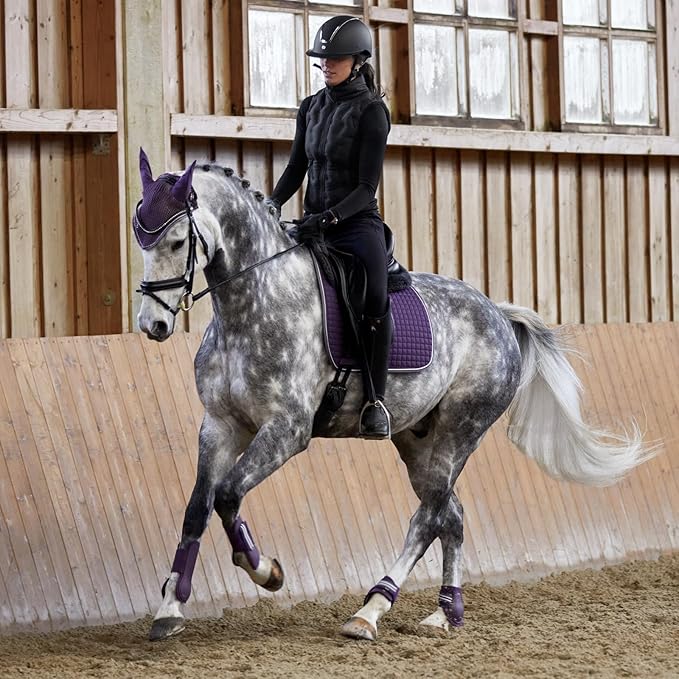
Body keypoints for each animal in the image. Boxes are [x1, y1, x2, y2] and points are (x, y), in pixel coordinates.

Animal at [133, 149, 650, 642]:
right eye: (141, 240)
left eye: (177, 242)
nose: (152, 325)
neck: (255, 301)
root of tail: (498, 314)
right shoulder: (220, 424)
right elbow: (197, 509)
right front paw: (169, 610)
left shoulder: (286, 430)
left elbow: (228, 495)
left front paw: (267, 572)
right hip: (418, 440)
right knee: (450, 515)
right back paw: (445, 614)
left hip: (461, 432)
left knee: (427, 520)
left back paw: (370, 611)